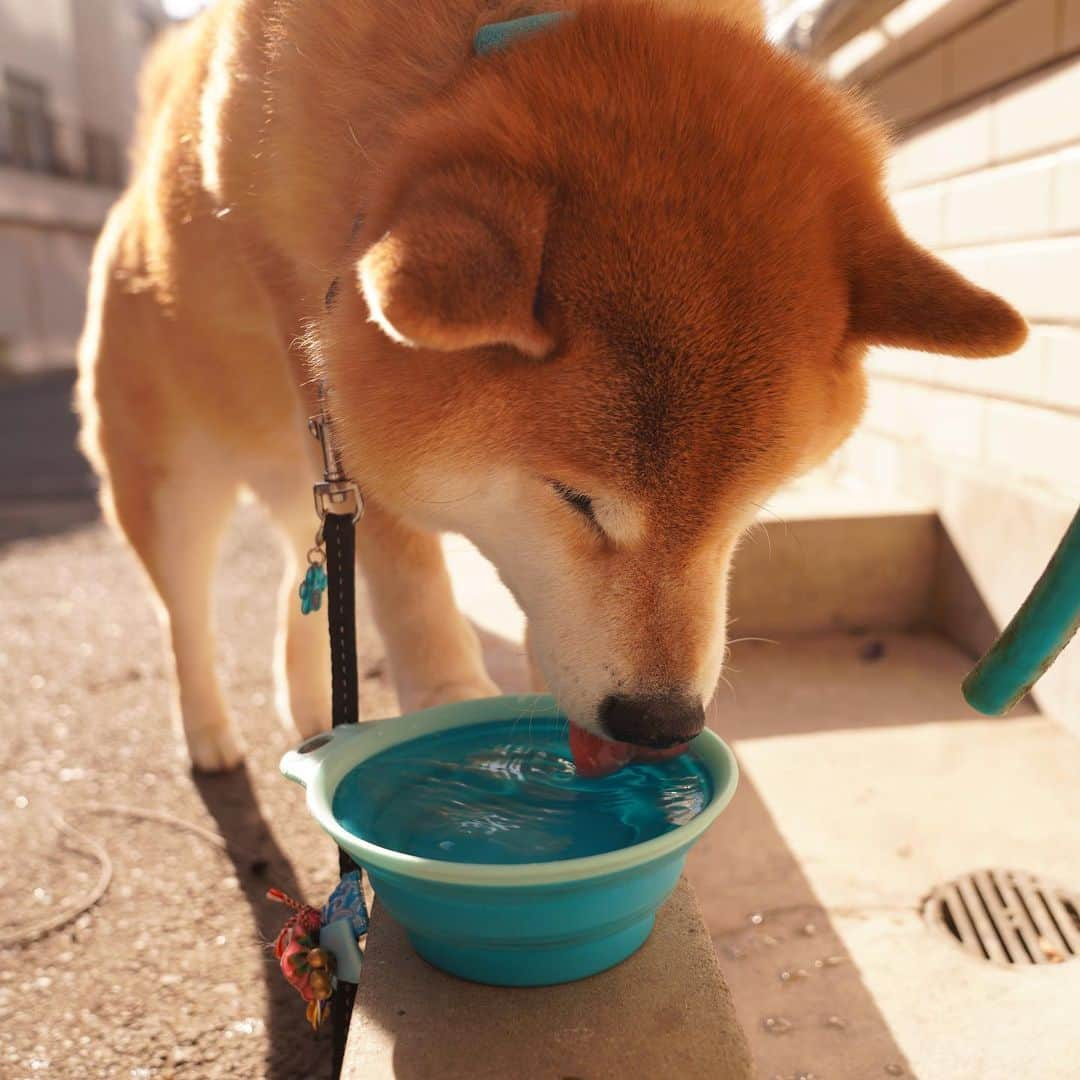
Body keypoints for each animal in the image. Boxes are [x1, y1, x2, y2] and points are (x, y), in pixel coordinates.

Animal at [73, 2, 1019, 777]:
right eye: (575, 498)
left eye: (749, 506)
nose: (662, 722)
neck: (493, 33)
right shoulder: (321, 347)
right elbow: (405, 574)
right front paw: (449, 695)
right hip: (169, 482)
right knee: (185, 614)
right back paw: (209, 734)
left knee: (303, 574)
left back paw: (314, 713)